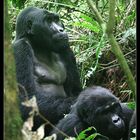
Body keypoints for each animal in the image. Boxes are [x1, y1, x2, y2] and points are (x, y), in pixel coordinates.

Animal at [13, 6, 133, 140]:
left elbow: (76, 91)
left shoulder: (65, 47)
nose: (61, 29)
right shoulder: (19, 49)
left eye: (56, 19)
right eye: (48, 21)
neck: (39, 47)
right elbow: (26, 101)